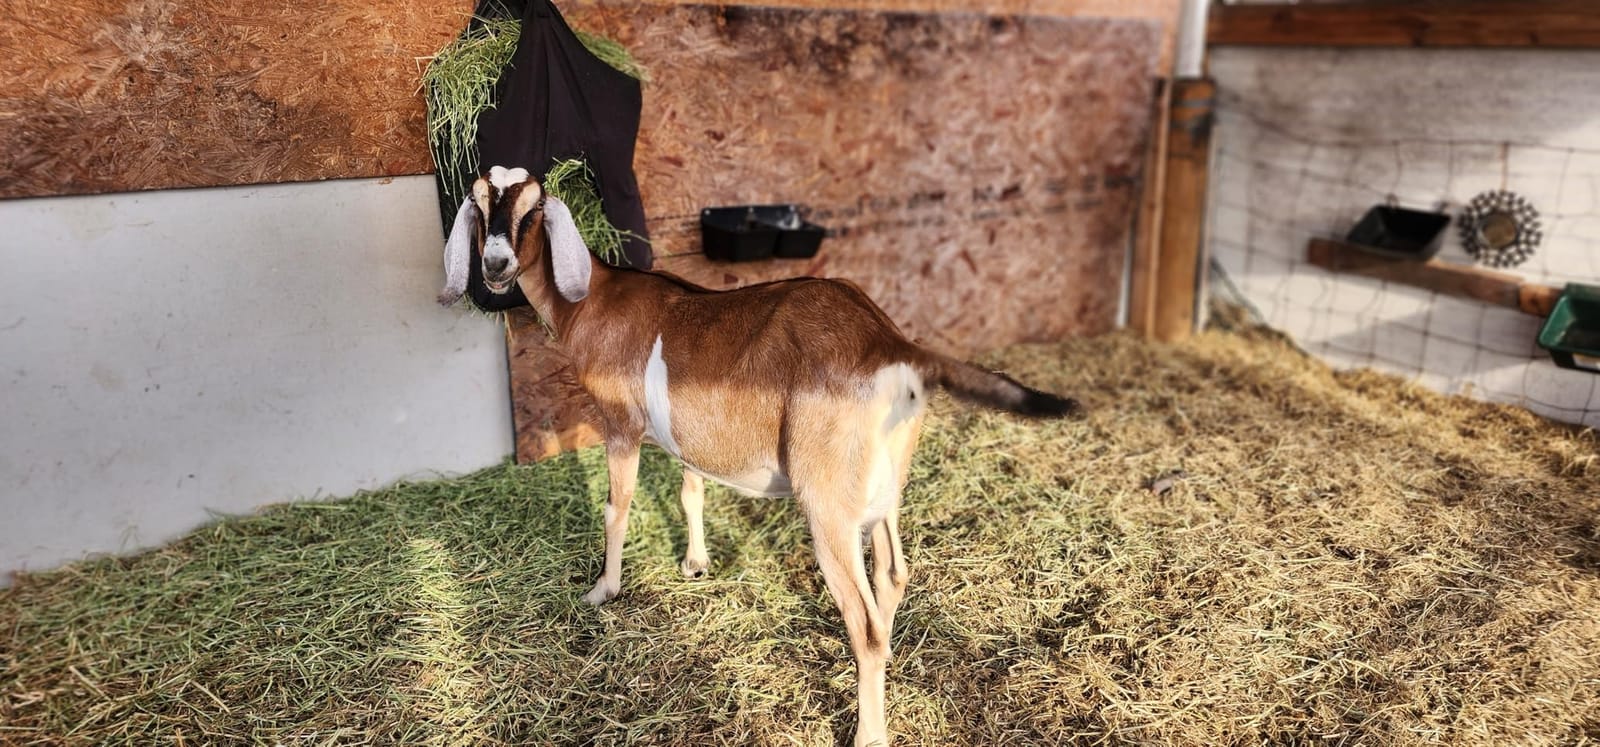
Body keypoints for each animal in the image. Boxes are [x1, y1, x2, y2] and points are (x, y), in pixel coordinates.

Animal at [439, 166, 1080, 746]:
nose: (495, 265)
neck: (595, 298)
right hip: (882, 490)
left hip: (828, 504)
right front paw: (696, 563)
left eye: (532, 212)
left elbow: (616, 509)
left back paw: (868, 731)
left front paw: (602, 591)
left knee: (864, 623)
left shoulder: (620, 423)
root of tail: (891, 345)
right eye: (481, 205)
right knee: (893, 576)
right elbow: (691, 490)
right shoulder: (688, 434)